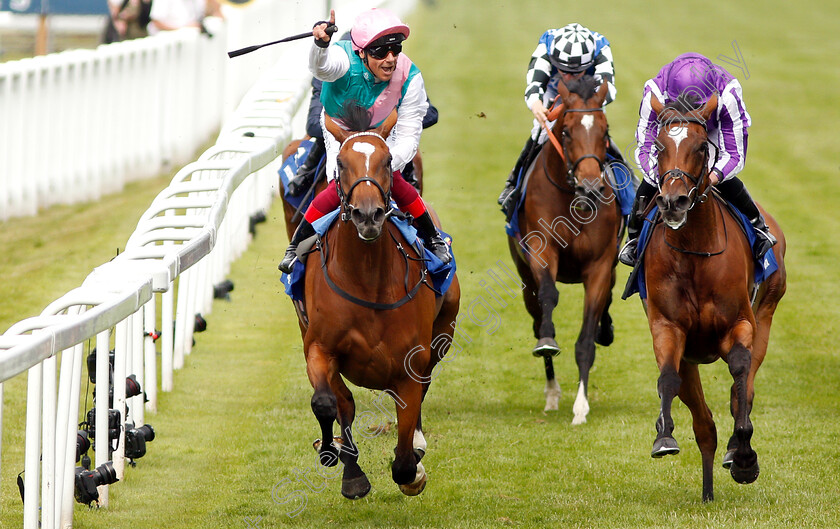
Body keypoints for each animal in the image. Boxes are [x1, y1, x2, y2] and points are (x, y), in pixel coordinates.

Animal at [508, 77, 620, 424]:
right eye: (567, 131)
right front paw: (547, 341)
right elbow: (549, 295)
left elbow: (586, 338)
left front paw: (581, 407)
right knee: (535, 314)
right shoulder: (541, 250)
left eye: (605, 130)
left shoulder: (600, 265)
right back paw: (552, 392)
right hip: (524, 277)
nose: (592, 188)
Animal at [644, 93, 788, 502]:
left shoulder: (740, 324)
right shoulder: (668, 328)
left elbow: (739, 373)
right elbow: (667, 378)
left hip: (766, 314)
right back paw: (707, 490)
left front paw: (744, 456)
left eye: (699, 147)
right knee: (703, 424)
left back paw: (734, 452)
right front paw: (664, 436)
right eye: (659, 147)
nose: (673, 202)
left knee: (745, 387)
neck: (695, 252)